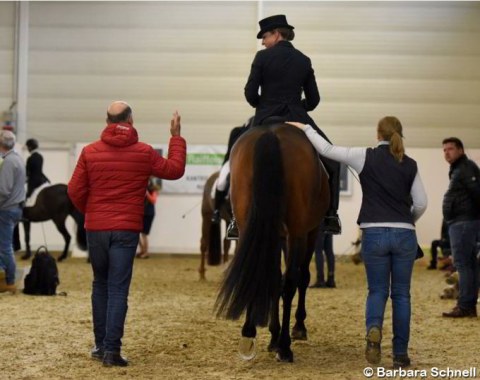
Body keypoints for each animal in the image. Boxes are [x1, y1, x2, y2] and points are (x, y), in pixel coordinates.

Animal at [217, 124, 330, 362]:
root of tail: (271, 132)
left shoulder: (277, 235)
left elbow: (275, 278)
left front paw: (272, 336)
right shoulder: (309, 232)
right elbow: (299, 278)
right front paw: (294, 329)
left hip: (249, 226)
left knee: (258, 272)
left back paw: (249, 334)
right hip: (298, 233)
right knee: (292, 282)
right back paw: (285, 346)